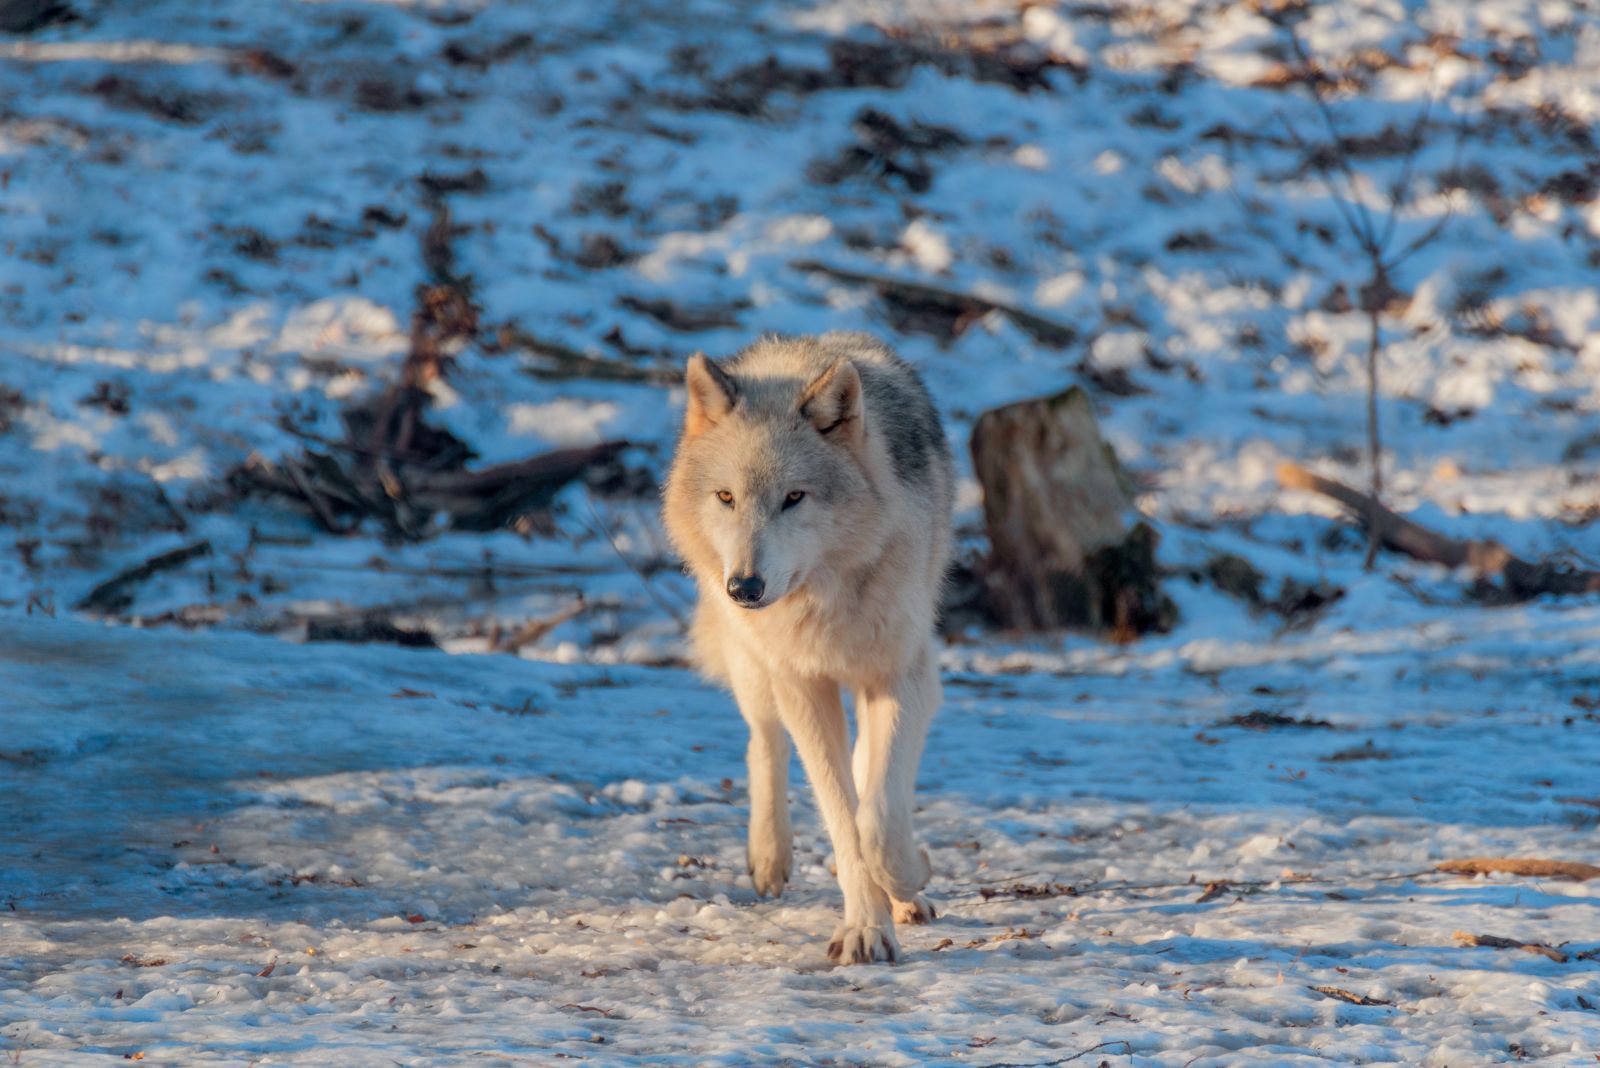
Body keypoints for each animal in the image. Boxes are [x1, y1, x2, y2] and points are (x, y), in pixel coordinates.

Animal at [662, 329, 947, 965]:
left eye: (795, 497)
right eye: (726, 497)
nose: (744, 587)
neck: (825, 596)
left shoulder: (904, 675)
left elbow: (877, 817)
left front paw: (907, 876)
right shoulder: (803, 684)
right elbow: (844, 820)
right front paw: (865, 928)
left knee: (869, 769)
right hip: (755, 667)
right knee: (764, 741)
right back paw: (769, 858)